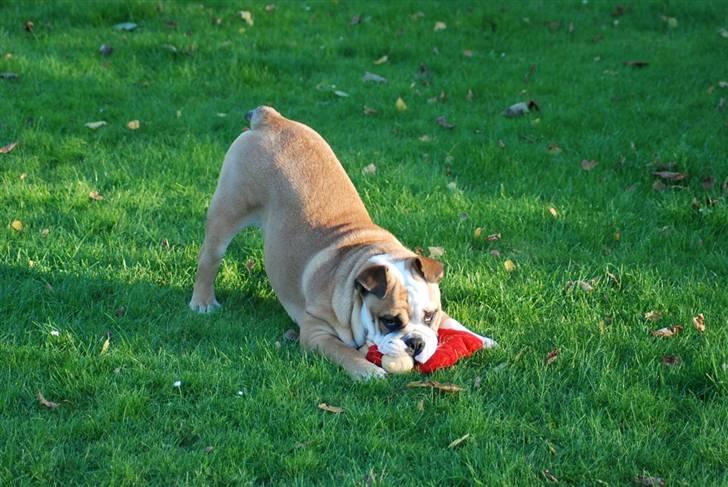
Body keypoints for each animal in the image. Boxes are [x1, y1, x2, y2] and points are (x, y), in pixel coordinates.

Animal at [188, 107, 494, 382]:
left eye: (429, 316)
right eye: (389, 321)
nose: (416, 343)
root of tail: (271, 119)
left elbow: (451, 320)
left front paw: (481, 338)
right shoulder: (316, 331)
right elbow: (343, 351)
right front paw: (368, 370)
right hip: (228, 210)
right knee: (209, 259)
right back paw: (203, 302)